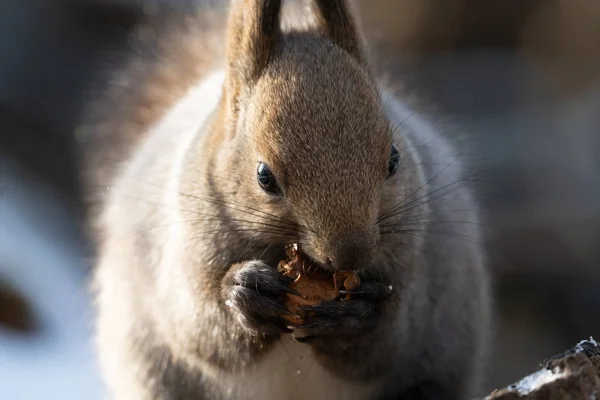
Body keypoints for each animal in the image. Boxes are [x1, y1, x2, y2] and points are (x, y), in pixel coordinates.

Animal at [79, 0, 490, 400]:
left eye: (394, 159)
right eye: (264, 176)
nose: (351, 255)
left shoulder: (413, 267)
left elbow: (389, 344)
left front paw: (354, 317)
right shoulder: (182, 250)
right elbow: (199, 330)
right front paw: (244, 291)